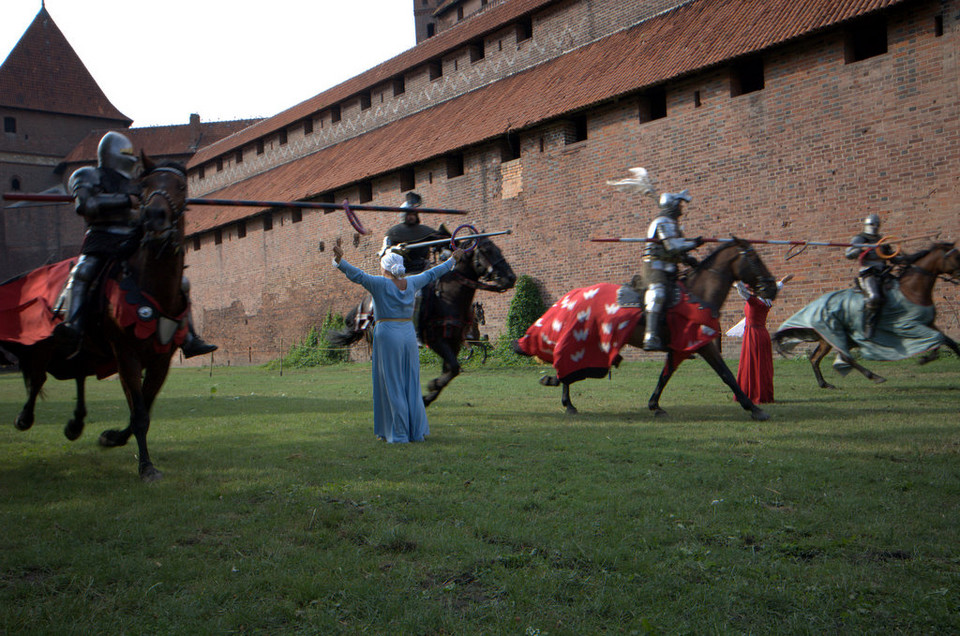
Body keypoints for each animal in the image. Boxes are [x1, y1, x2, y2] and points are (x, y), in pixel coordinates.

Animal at [0, 155, 191, 482]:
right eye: (145, 186)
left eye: (181, 186)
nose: (155, 217)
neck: (150, 283)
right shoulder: (126, 355)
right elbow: (139, 412)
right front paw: (146, 467)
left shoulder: (161, 359)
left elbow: (143, 407)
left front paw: (113, 437)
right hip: (45, 344)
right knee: (37, 378)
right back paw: (24, 418)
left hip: (87, 349)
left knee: (77, 373)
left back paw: (76, 423)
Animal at [512, 236, 776, 420]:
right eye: (754, 258)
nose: (771, 287)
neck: (698, 295)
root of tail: (574, 296)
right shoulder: (703, 345)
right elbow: (727, 375)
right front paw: (754, 408)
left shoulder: (678, 349)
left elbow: (665, 375)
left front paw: (655, 405)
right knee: (568, 366)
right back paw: (563, 396)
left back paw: (563, 395)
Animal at [772, 241, 960, 388]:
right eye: (955, 257)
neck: (911, 290)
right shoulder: (911, 326)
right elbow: (938, 339)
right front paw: (925, 359)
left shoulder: (928, 323)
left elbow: (948, 341)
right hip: (833, 334)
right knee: (845, 358)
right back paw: (874, 376)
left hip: (829, 339)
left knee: (815, 358)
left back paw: (825, 384)